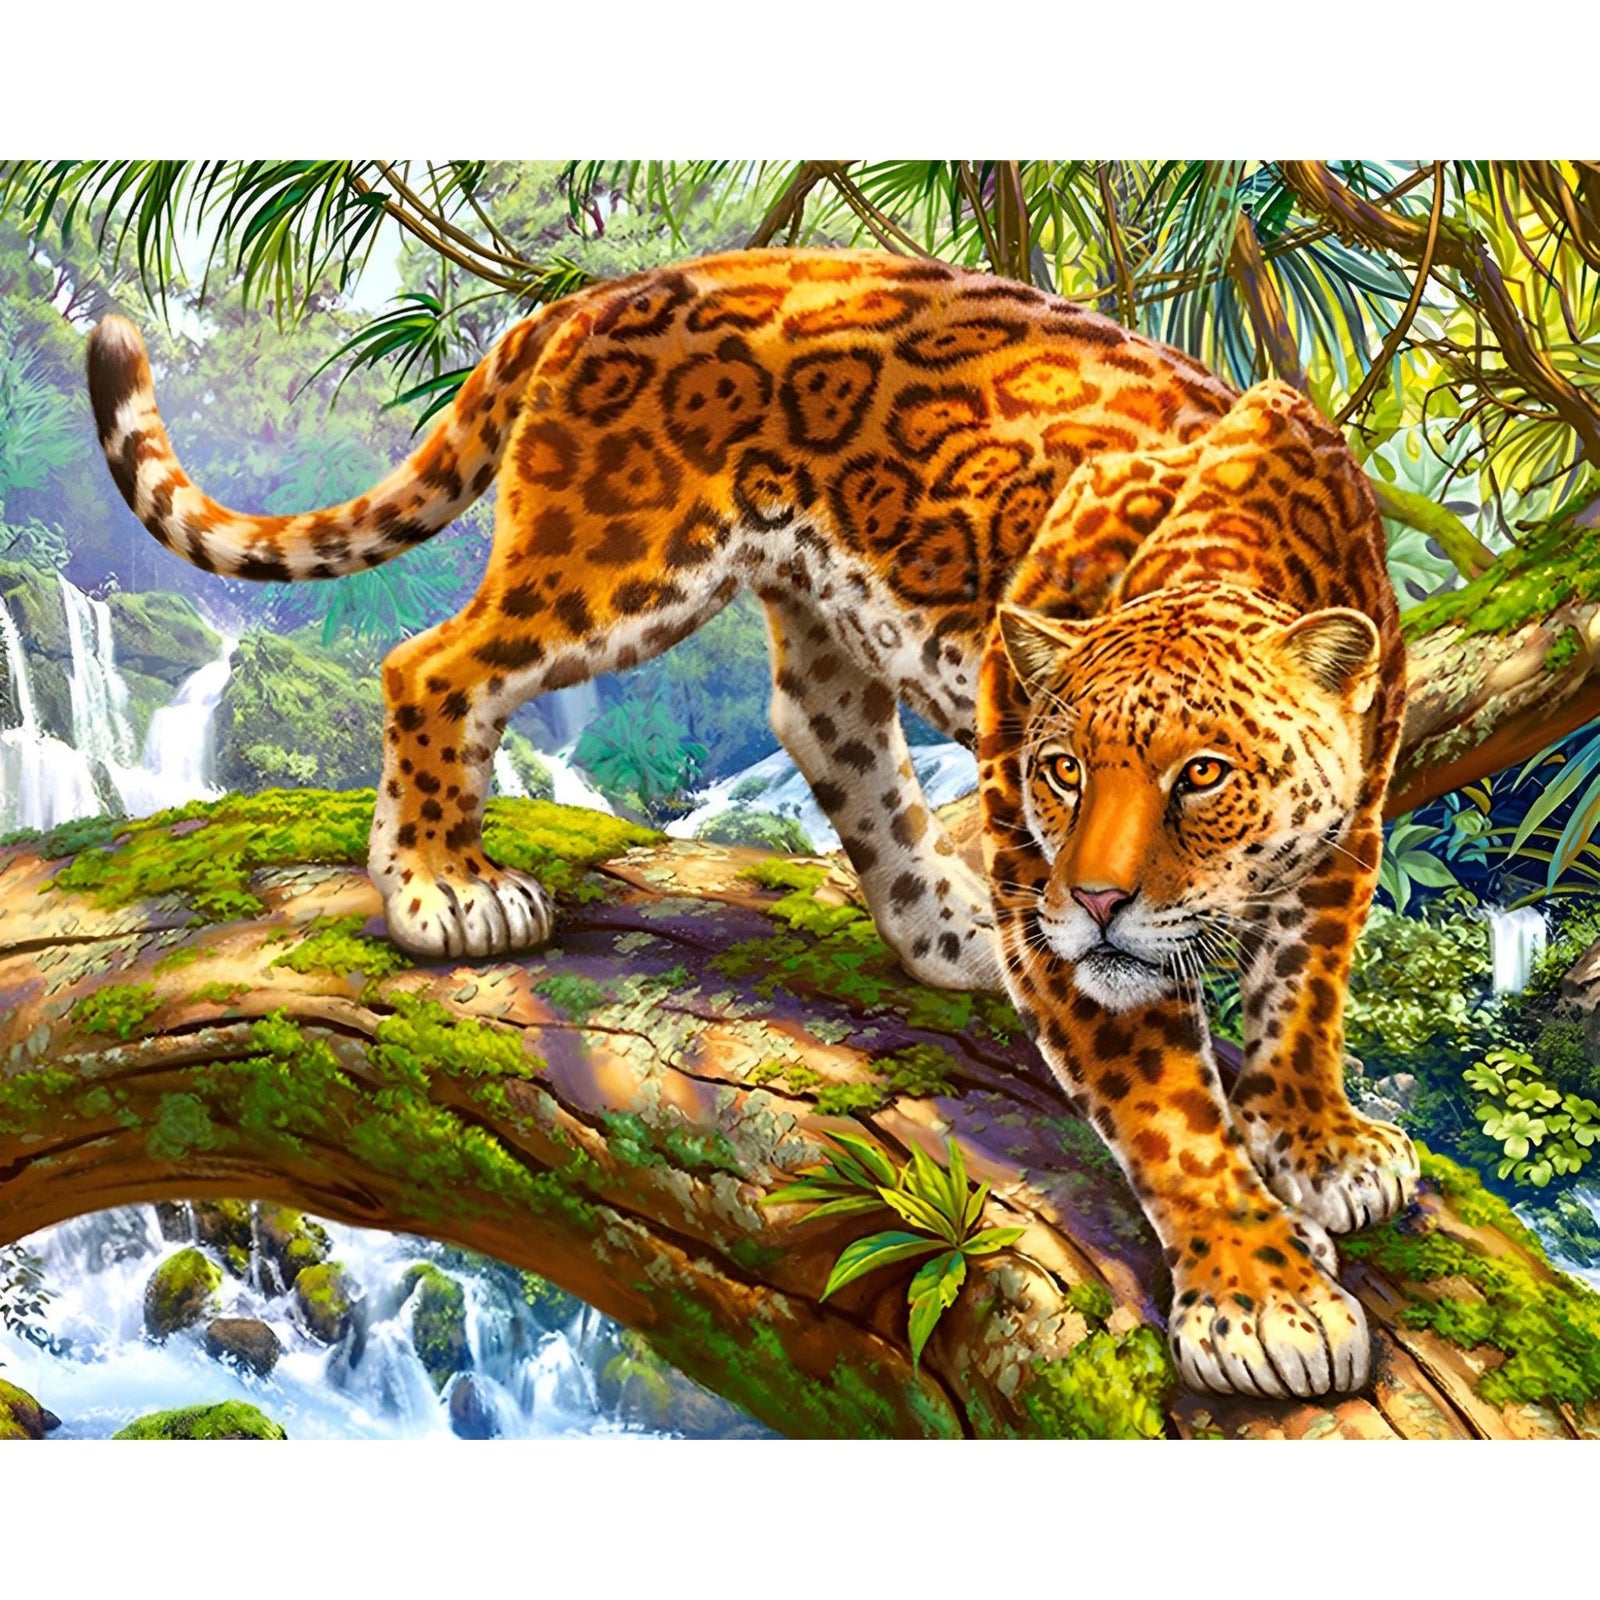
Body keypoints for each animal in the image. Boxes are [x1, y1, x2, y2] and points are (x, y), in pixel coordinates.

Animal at [86, 247, 1417, 1398]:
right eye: (1059, 771)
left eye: (1202, 775)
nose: (1087, 901)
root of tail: (603, 292)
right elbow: (1171, 1114)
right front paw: (1267, 1301)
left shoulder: (1351, 832)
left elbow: (1307, 993)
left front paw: (1322, 1147)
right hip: (616, 556)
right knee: (435, 664)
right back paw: (444, 886)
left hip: (813, 611)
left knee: (827, 735)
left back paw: (952, 933)